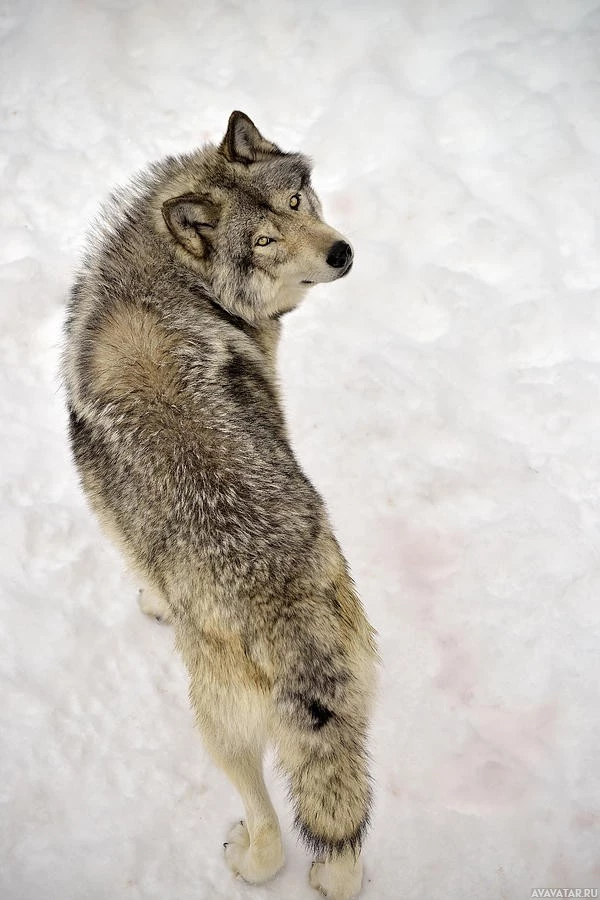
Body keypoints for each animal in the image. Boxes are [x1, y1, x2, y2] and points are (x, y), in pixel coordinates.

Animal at [63, 112, 378, 900]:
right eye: (262, 240)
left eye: (296, 201)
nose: (341, 252)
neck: (173, 280)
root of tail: (285, 615)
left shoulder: (107, 514)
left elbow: (136, 564)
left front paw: (152, 601)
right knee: (342, 842)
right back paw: (337, 877)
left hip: (215, 728)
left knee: (269, 824)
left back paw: (248, 860)